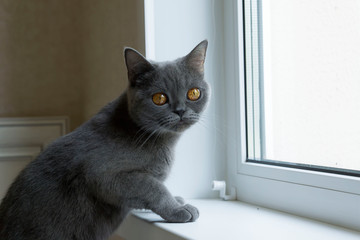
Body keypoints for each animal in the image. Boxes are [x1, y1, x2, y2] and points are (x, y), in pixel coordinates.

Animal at [0, 40, 210, 239]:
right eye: (159, 98)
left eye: (193, 93)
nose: (180, 111)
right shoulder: (103, 174)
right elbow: (153, 187)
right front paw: (178, 209)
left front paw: (177, 200)